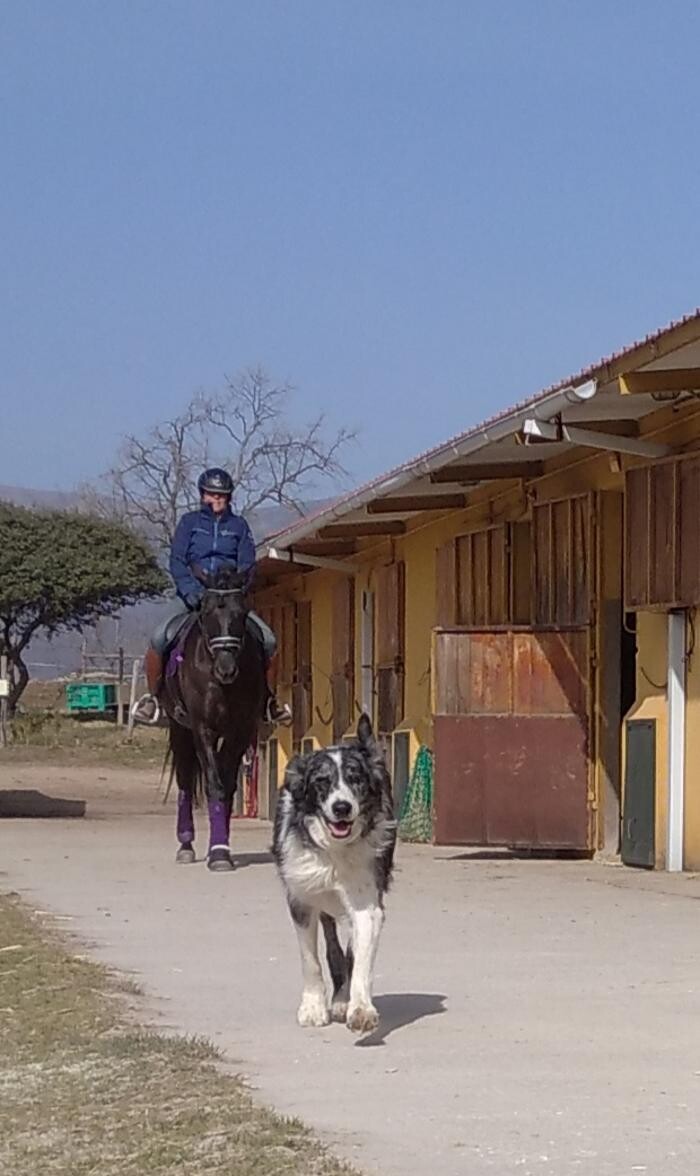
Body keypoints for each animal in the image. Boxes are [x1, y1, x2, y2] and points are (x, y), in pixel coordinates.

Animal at [161, 564, 268, 870]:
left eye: (242, 612)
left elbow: (227, 787)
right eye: (207, 612)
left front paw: (221, 849)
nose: (226, 669)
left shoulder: (240, 730)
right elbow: (213, 785)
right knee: (185, 781)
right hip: (180, 729)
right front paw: (218, 852)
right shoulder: (203, 730)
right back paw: (185, 845)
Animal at [272, 710, 397, 1034]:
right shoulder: (301, 900)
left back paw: (343, 1000)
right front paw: (313, 1008)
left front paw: (360, 1009)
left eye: (356, 779)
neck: (333, 850)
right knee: (331, 946)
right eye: (321, 782)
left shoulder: (367, 902)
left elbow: (361, 958)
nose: (342, 807)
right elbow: (311, 960)